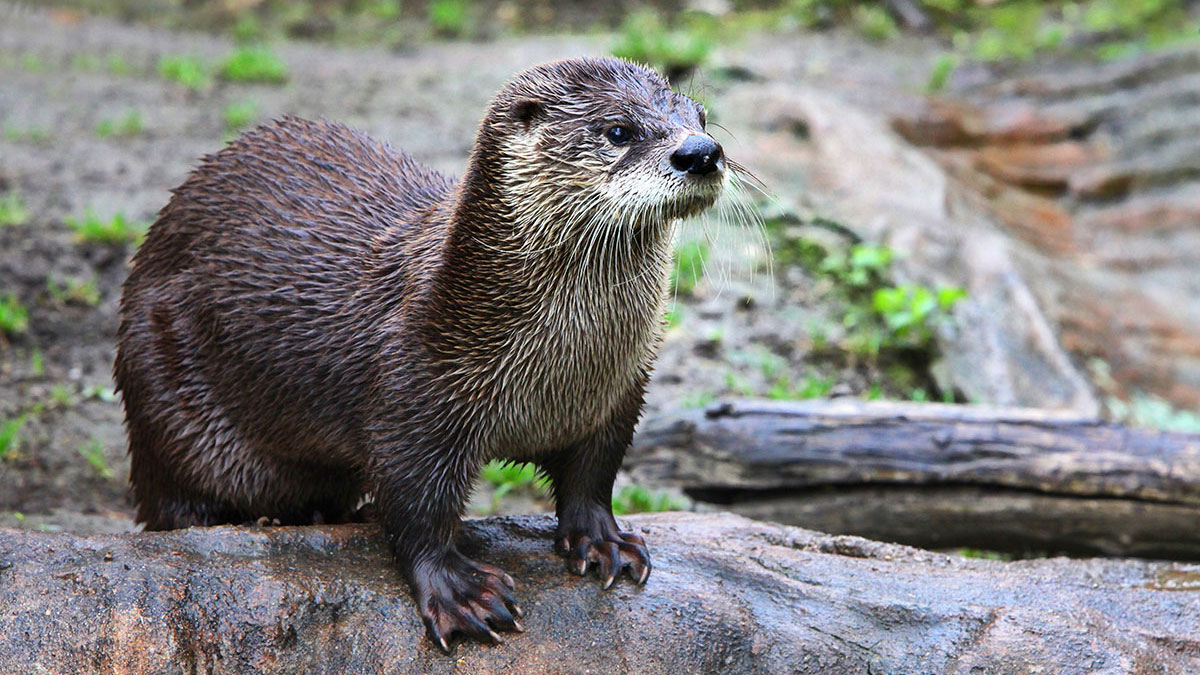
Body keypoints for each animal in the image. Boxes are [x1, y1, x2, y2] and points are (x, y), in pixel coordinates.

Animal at [117, 56, 724, 648]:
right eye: (618, 130)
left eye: (699, 116)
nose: (701, 152)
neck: (559, 374)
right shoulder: (412, 390)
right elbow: (415, 504)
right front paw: (460, 591)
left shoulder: (619, 395)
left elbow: (593, 476)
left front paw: (603, 541)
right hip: (164, 400)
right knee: (176, 503)